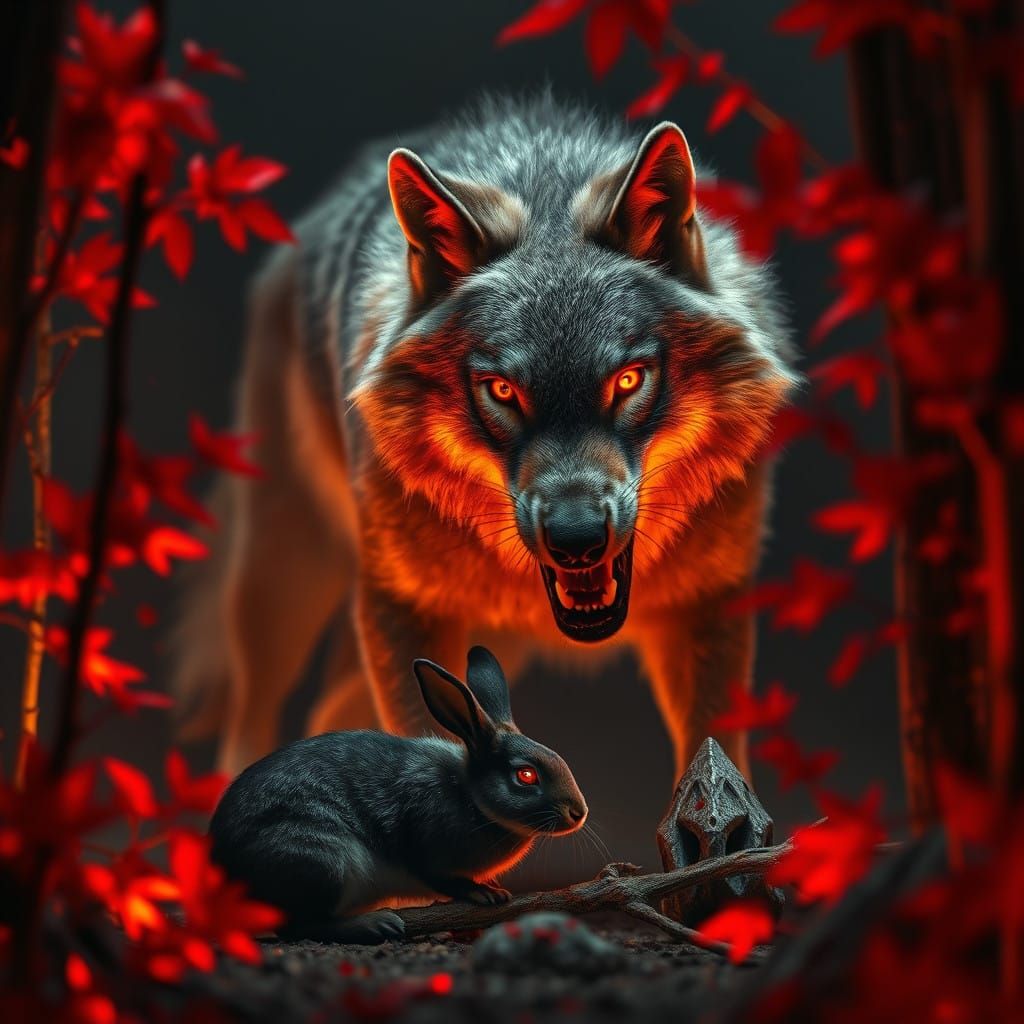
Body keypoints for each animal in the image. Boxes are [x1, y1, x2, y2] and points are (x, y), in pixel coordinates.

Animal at [173, 94, 797, 780]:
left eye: (628, 380)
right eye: (502, 390)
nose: (576, 540)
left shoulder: (711, 607)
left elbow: (714, 755)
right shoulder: (402, 610)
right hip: (284, 582)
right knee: (251, 719)